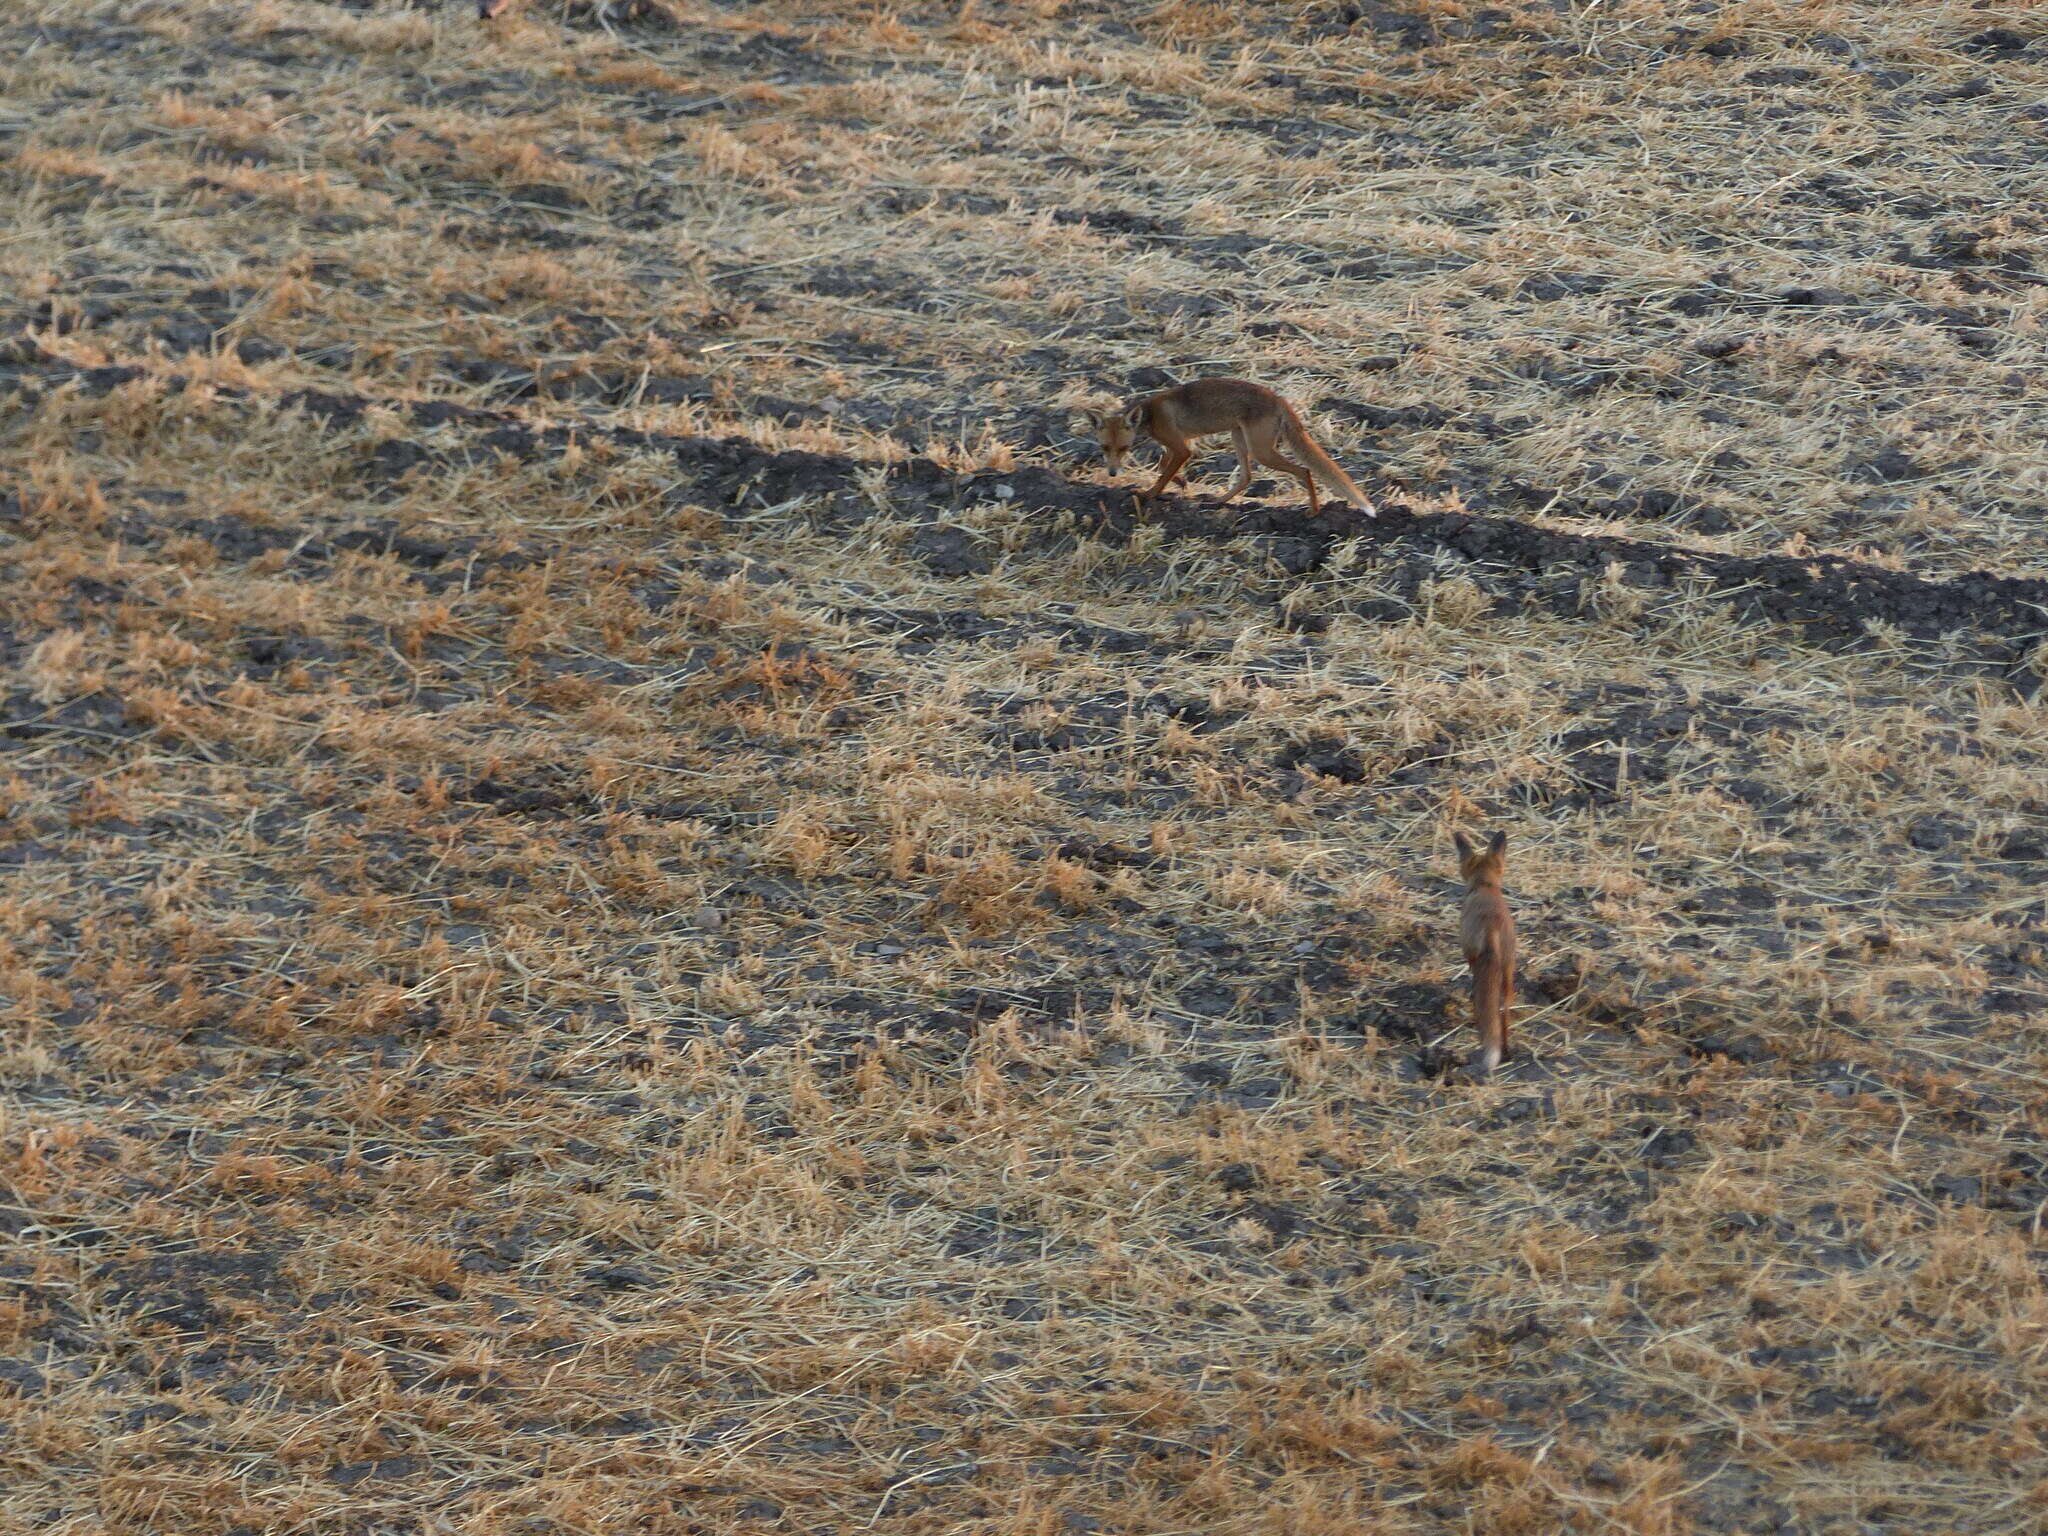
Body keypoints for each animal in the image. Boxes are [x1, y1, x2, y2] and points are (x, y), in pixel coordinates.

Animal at [1089, 376, 1376, 520]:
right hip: (1239, 438)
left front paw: (1150, 495)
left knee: (1304, 471)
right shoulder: (1179, 444)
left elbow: (1162, 475)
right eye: (1105, 447)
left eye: (1123, 448)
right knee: (1247, 477)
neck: (1151, 414)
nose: (1112, 473)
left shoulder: (1181, 447)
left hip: (1261, 450)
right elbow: (1164, 466)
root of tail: (1278, 398)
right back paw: (1219, 501)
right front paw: (1181, 483)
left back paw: (1314, 511)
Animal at [1458, 831, 1523, 1081]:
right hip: (1508, 969)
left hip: (1484, 965)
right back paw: (1506, 1052)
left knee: (1484, 1004)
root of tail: (1492, 927)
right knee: (1504, 1009)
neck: (1485, 887)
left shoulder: (1469, 953)